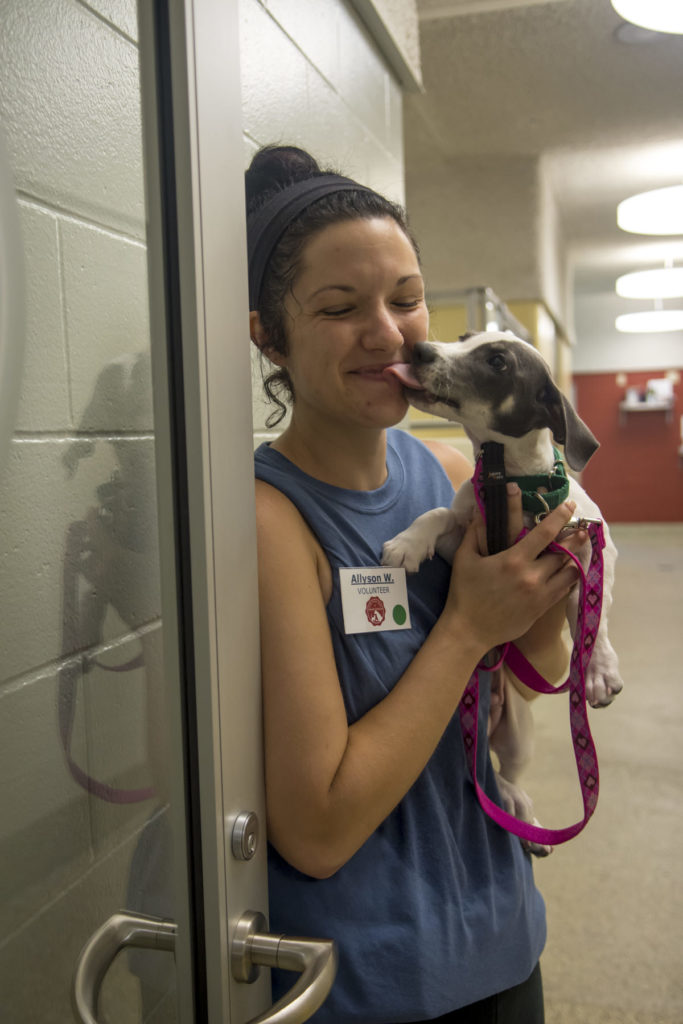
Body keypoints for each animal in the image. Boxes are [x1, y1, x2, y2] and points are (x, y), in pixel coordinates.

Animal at [382, 333, 622, 847]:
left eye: (497, 362)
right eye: (461, 339)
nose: (418, 349)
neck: (512, 483)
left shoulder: (592, 542)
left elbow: (589, 610)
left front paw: (596, 670)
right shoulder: (463, 536)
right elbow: (438, 514)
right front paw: (408, 544)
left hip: (519, 734)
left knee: (508, 775)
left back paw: (526, 820)